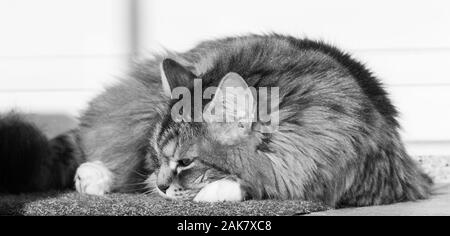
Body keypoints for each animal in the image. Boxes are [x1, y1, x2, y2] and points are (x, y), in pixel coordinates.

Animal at [0, 34, 432, 207]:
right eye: (159, 158)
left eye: (185, 162)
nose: (160, 185)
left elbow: (264, 182)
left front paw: (216, 190)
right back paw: (92, 177)